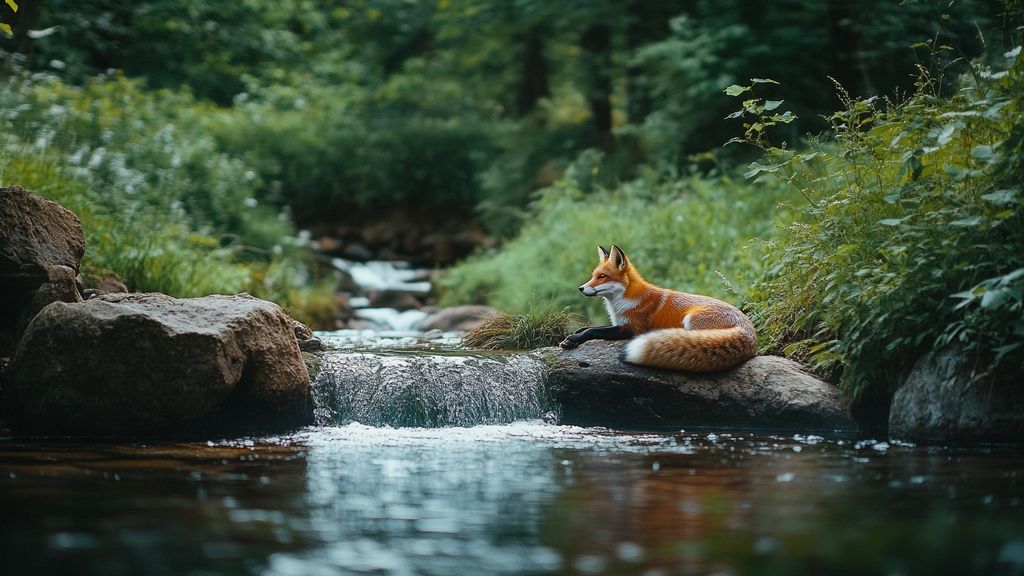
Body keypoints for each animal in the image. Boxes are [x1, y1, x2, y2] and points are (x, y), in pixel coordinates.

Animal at [559, 245, 756, 372]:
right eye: (593, 276)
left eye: (602, 276)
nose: (580, 288)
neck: (622, 301)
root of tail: (749, 332)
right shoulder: (619, 323)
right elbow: (586, 328)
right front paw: (572, 336)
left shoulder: (631, 328)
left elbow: (591, 330)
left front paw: (574, 339)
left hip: (691, 320)